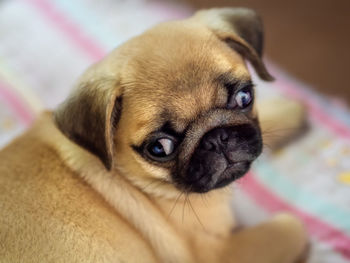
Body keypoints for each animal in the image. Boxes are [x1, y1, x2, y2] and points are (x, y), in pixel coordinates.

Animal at [0, 7, 308, 262]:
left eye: (244, 97)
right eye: (160, 148)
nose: (216, 139)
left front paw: (289, 111)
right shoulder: (218, 253)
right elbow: (292, 228)